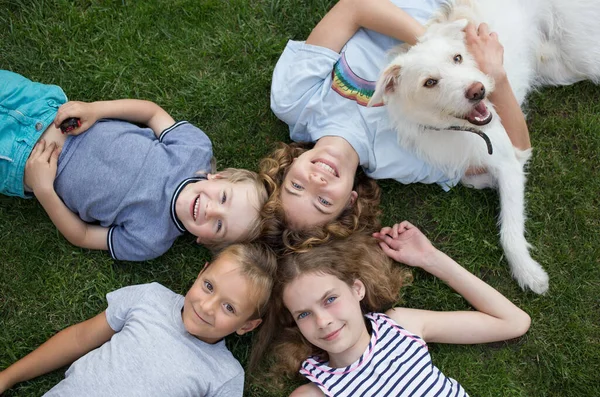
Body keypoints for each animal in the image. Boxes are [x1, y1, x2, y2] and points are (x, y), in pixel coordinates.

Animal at [368, 0, 600, 292]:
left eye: (457, 58)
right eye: (429, 82)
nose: (477, 90)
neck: (458, 129)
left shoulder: (510, 156)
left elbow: (510, 228)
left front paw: (527, 271)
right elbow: (468, 177)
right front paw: (488, 182)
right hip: (560, 67)